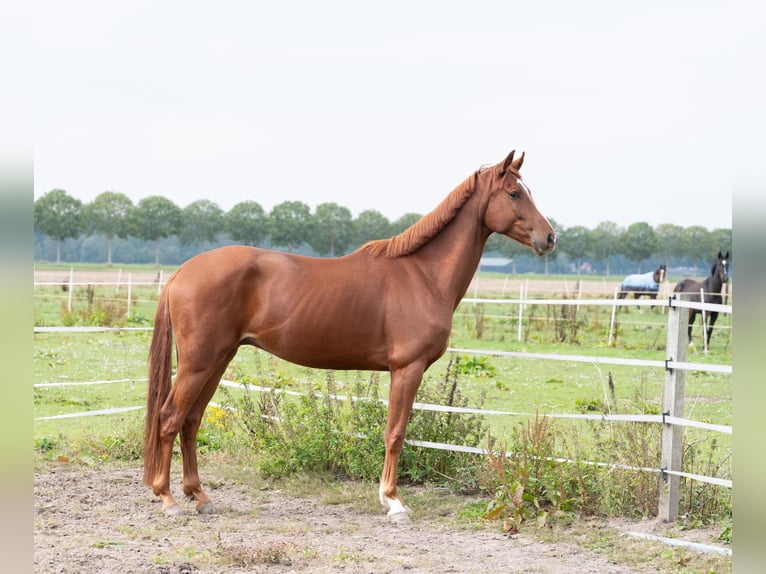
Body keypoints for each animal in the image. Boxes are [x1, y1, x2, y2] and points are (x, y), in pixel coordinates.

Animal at [143, 150, 556, 521]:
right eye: (514, 193)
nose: (550, 238)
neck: (422, 274)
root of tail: (183, 271)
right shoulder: (407, 369)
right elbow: (395, 432)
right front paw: (393, 501)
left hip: (218, 359)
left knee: (191, 420)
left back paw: (200, 496)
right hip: (200, 363)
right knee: (169, 417)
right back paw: (168, 499)